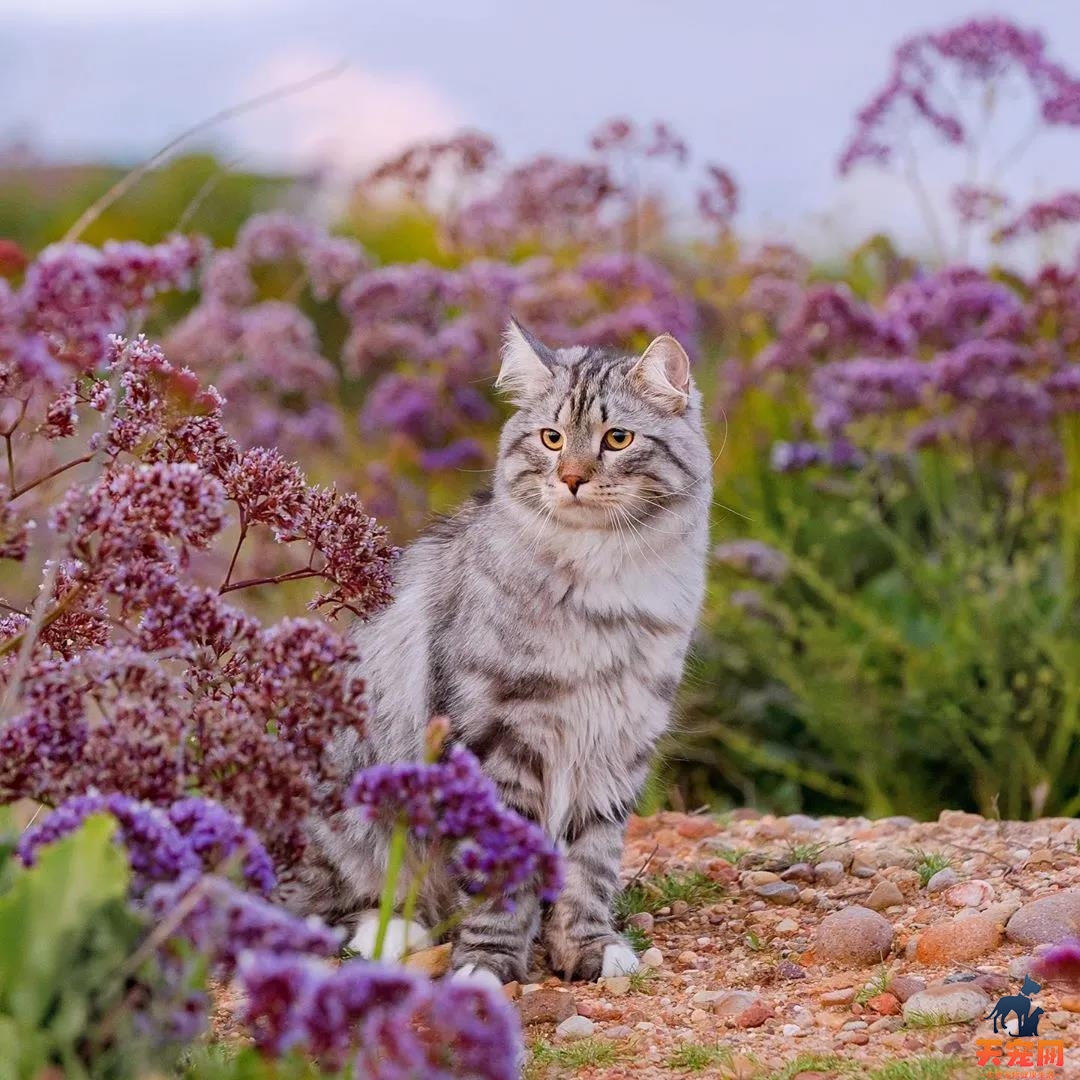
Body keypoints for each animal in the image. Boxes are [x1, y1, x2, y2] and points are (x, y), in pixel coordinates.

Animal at [282, 319, 712, 989]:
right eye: (551, 438)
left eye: (617, 439)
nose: (572, 478)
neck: (602, 586)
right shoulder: (496, 739)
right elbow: (497, 880)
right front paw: (487, 964)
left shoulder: (617, 742)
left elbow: (591, 867)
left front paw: (591, 950)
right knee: (303, 905)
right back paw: (391, 931)